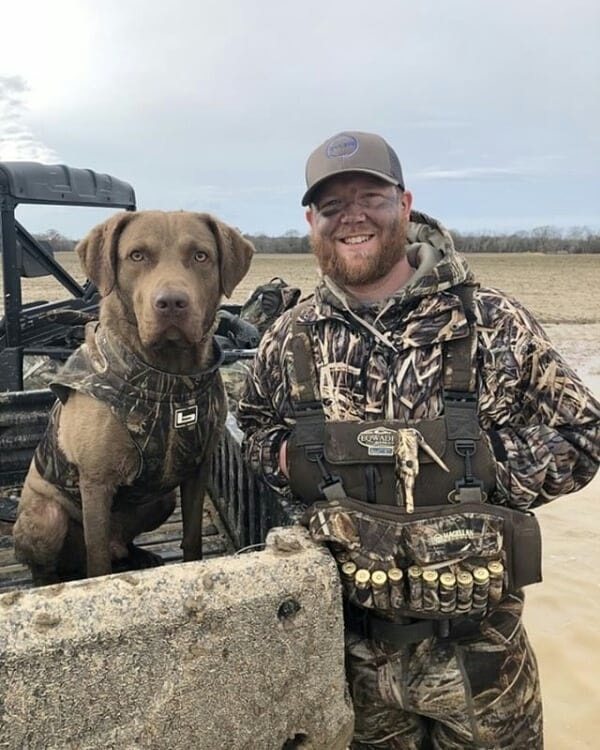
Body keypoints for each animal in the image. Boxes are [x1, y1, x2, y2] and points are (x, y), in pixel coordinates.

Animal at [14, 212, 253, 588]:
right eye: (136, 255)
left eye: (201, 256)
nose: (171, 303)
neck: (170, 381)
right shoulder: (96, 483)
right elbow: (98, 562)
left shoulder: (197, 468)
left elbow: (192, 537)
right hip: (47, 517)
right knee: (56, 562)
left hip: (162, 499)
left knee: (121, 542)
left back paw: (138, 554)